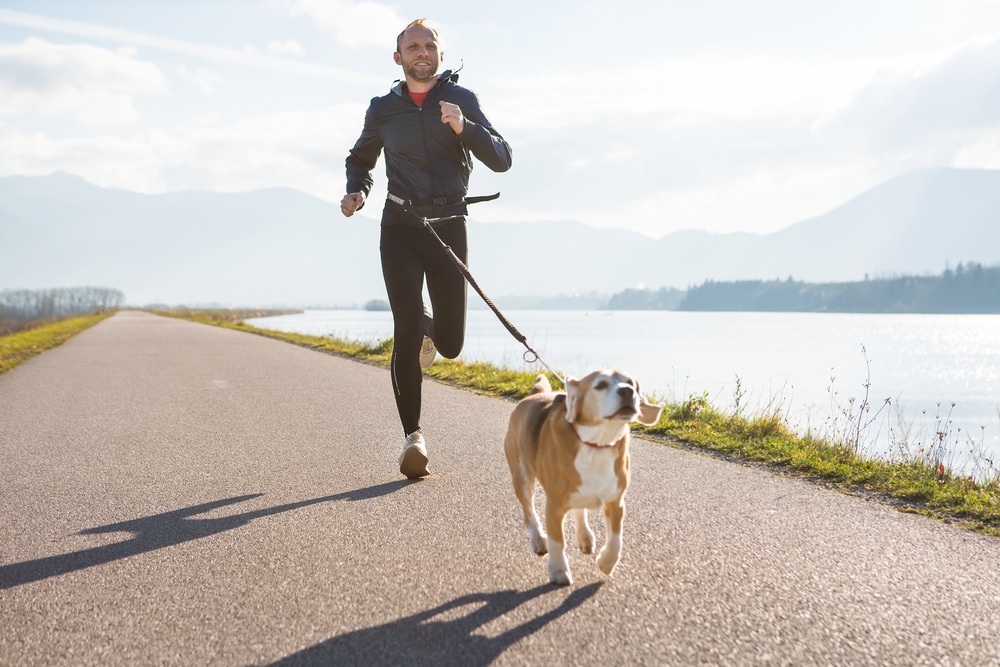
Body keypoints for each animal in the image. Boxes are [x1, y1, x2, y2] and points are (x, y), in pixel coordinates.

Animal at [504, 374, 660, 588]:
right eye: (600, 385)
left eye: (632, 384)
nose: (628, 391)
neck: (597, 444)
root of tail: (533, 396)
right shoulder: (554, 507)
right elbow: (557, 541)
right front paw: (559, 571)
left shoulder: (616, 502)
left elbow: (616, 539)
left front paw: (606, 563)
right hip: (522, 478)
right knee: (529, 513)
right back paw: (538, 540)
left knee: (579, 508)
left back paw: (584, 536)